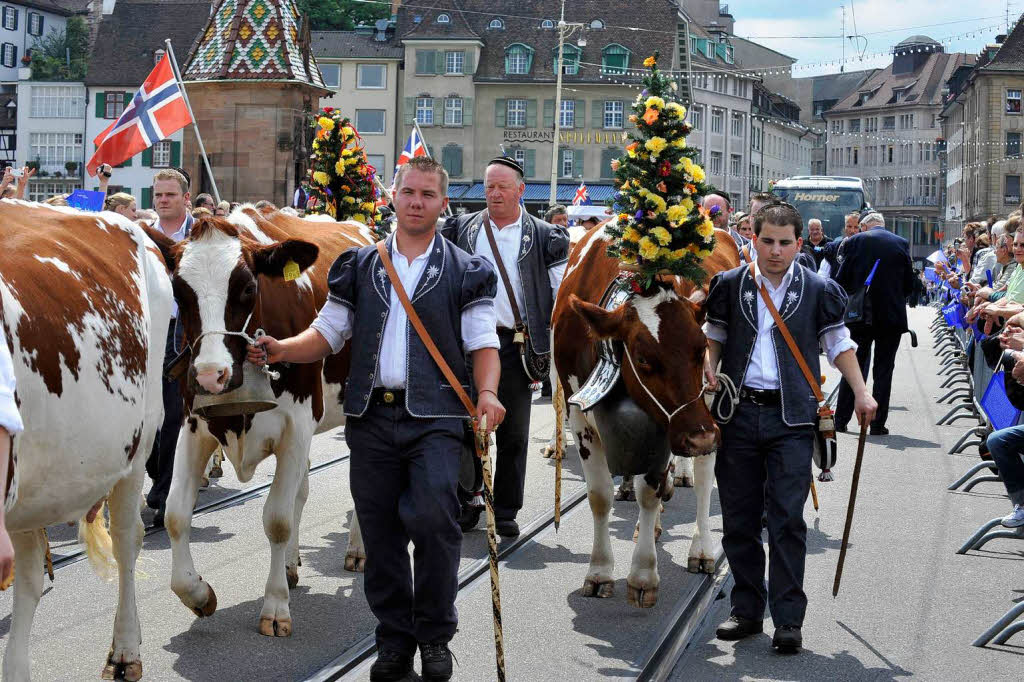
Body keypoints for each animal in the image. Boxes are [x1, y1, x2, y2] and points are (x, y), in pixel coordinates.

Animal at [148, 206, 376, 638]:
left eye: (248, 289)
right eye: (179, 292)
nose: (210, 375)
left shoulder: (297, 426)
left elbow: (277, 519)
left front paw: (274, 607)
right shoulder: (193, 426)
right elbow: (175, 514)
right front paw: (198, 595)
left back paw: (357, 549)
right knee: (301, 490)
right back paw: (290, 565)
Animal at [552, 222, 737, 606]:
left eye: (701, 349)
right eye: (643, 359)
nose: (700, 436)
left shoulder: (668, 425)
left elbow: (649, 492)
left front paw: (642, 575)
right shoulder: (578, 417)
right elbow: (599, 496)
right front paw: (599, 571)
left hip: (709, 403)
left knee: (703, 478)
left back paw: (701, 548)